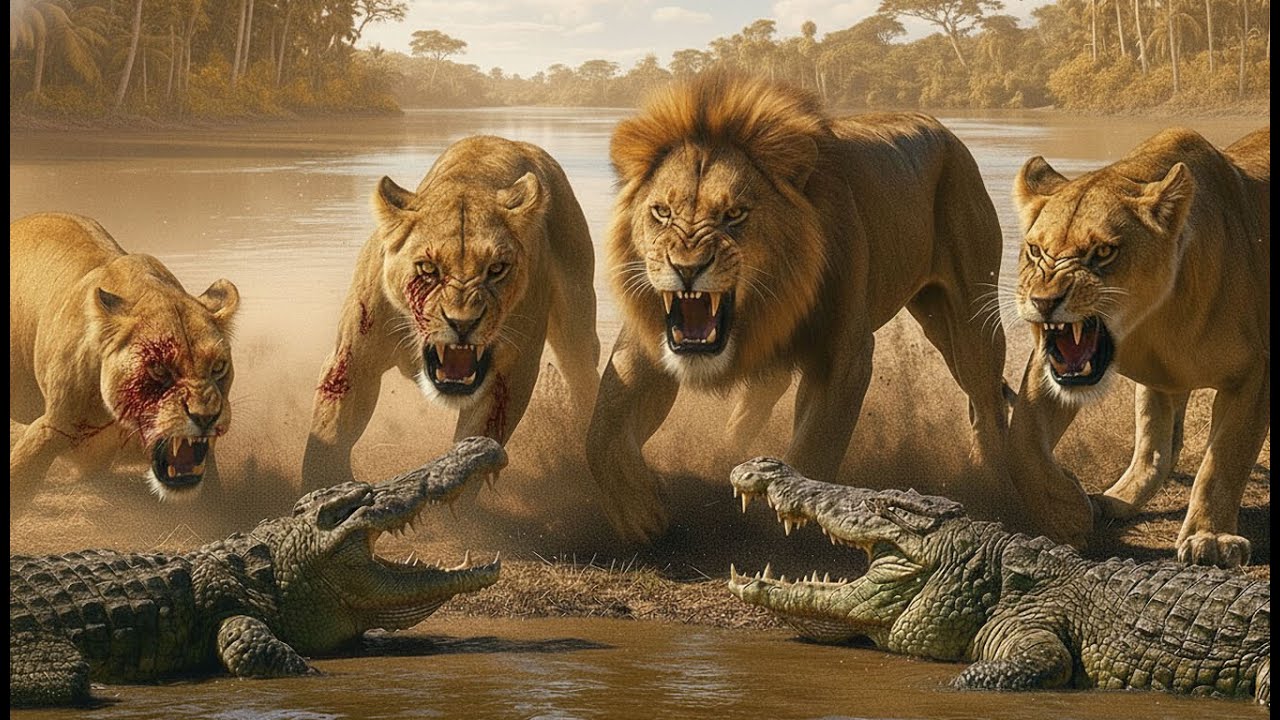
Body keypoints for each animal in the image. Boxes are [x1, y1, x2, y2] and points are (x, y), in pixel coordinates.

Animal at [302, 135, 600, 491]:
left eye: (496, 269)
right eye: (428, 269)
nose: (462, 323)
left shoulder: (509, 373)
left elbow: (475, 449)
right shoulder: (353, 360)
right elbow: (327, 440)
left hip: (577, 328)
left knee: (585, 377)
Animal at [586, 73, 1011, 541]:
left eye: (735, 214)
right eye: (661, 211)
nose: (687, 268)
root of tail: (942, 128)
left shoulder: (843, 356)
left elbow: (814, 449)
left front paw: (787, 525)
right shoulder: (648, 344)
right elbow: (601, 434)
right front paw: (641, 510)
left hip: (970, 319)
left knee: (986, 400)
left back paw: (1002, 480)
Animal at [1007, 126, 1270, 568]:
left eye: (1103, 252)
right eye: (1036, 250)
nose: (1043, 302)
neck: (1151, 325)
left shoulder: (1254, 373)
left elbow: (1224, 460)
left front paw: (1210, 537)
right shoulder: (1053, 364)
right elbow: (1022, 440)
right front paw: (1067, 512)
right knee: (1157, 448)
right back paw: (1114, 499)